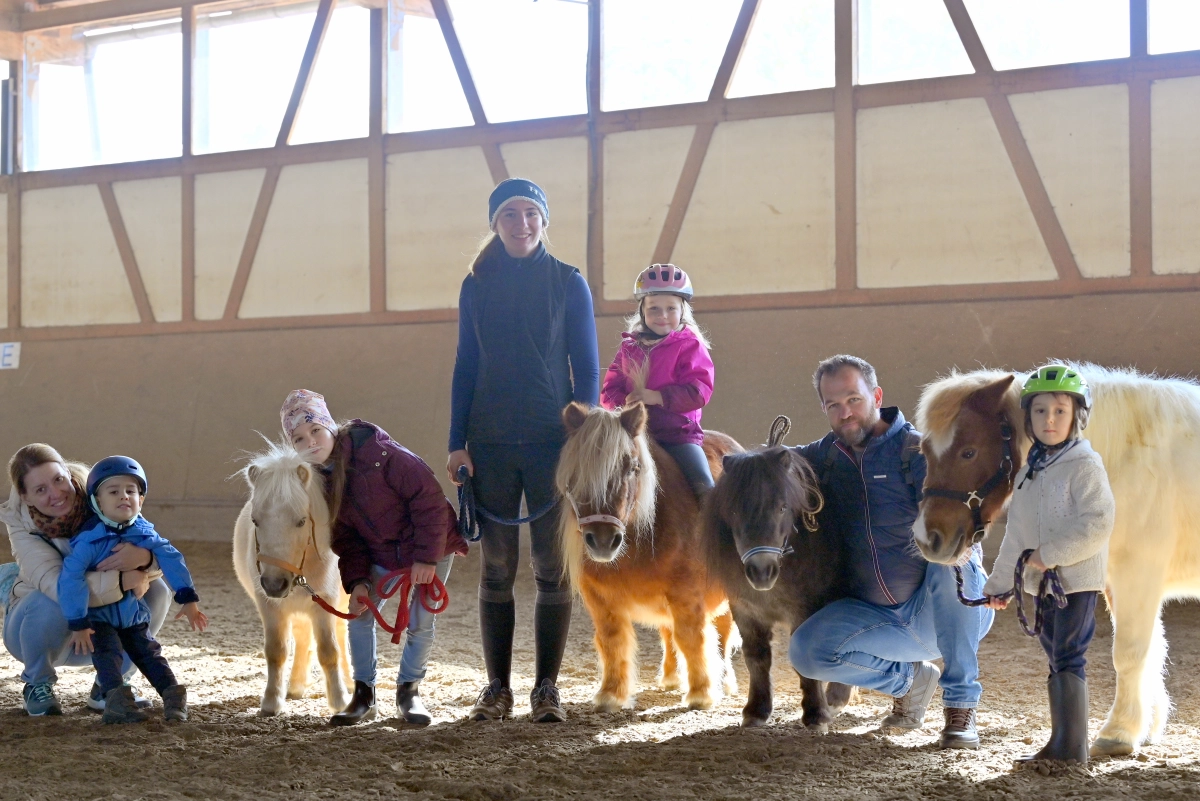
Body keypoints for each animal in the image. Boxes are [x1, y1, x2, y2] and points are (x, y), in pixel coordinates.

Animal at [230, 441, 350, 714]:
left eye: (302, 521)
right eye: (255, 520)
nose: (274, 584)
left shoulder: (325, 603)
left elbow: (329, 651)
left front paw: (339, 701)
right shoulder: (270, 606)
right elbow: (276, 651)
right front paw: (272, 701)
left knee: (342, 632)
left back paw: (350, 681)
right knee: (302, 636)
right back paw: (295, 685)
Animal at [554, 402, 739, 709]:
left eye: (632, 467)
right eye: (576, 472)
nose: (602, 541)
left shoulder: (687, 592)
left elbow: (692, 637)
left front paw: (701, 693)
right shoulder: (599, 599)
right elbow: (612, 641)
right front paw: (611, 694)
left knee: (721, 631)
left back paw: (722, 681)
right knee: (668, 631)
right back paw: (671, 678)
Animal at [700, 448, 854, 729]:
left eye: (783, 507)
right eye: (734, 512)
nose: (761, 572)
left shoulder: (804, 612)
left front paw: (816, 714)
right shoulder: (746, 612)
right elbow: (756, 657)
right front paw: (756, 710)